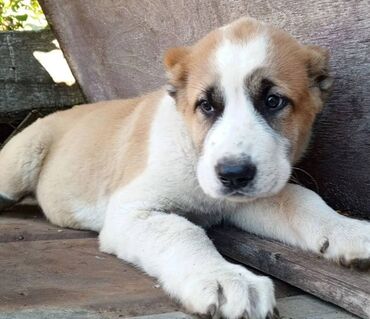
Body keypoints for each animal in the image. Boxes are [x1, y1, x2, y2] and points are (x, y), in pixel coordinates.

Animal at [0, 17, 370, 319]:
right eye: (206, 106)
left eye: (273, 101)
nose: (233, 174)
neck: (193, 153)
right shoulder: (132, 210)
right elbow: (183, 232)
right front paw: (225, 278)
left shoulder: (250, 197)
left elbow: (301, 200)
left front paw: (348, 230)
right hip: (20, 161)